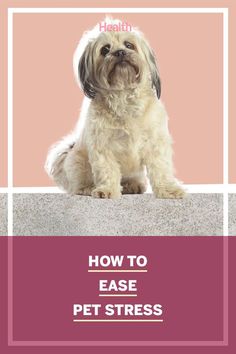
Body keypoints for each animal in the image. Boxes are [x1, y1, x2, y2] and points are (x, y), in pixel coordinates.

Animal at [45, 18, 185, 199]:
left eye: (129, 45)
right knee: (80, 180)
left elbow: (161, 169)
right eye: (105, 49)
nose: (119, 52)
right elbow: (107, 169)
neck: (123, 96)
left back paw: (132, 185)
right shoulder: (102, 145)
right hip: (77, 161)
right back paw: (87, 188)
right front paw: (107, 190)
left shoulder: (155, 142)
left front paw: (168, 190)